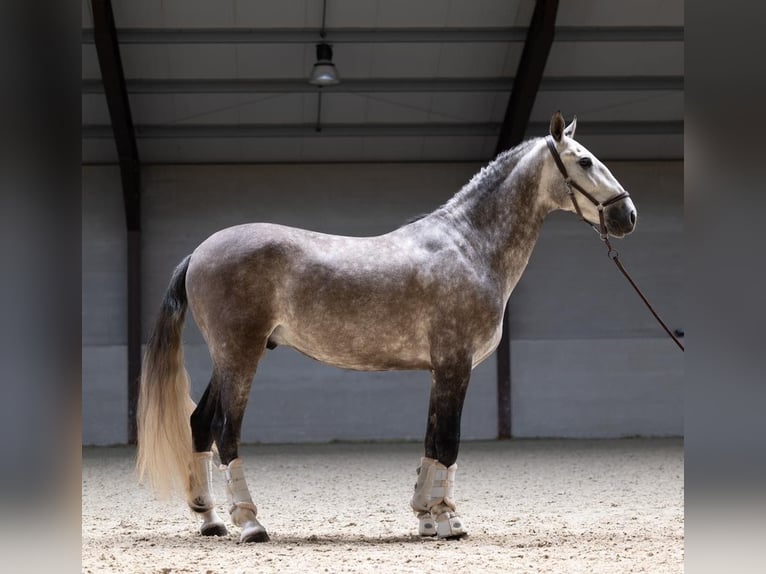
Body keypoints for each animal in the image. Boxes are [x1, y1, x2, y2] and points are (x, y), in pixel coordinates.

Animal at [136, 112, 637, 542]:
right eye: (585, 160)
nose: (627, 215)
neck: (469, 246)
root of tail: (200, 252)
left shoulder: (441, 370)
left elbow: (433, 442)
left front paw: (428, 518)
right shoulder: (456, 365)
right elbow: (449, 443)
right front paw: (449, 521)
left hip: (227, 358)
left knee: (200, 424)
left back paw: (211, 520)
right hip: (240, 354)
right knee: (225, 430)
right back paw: (250, 524)